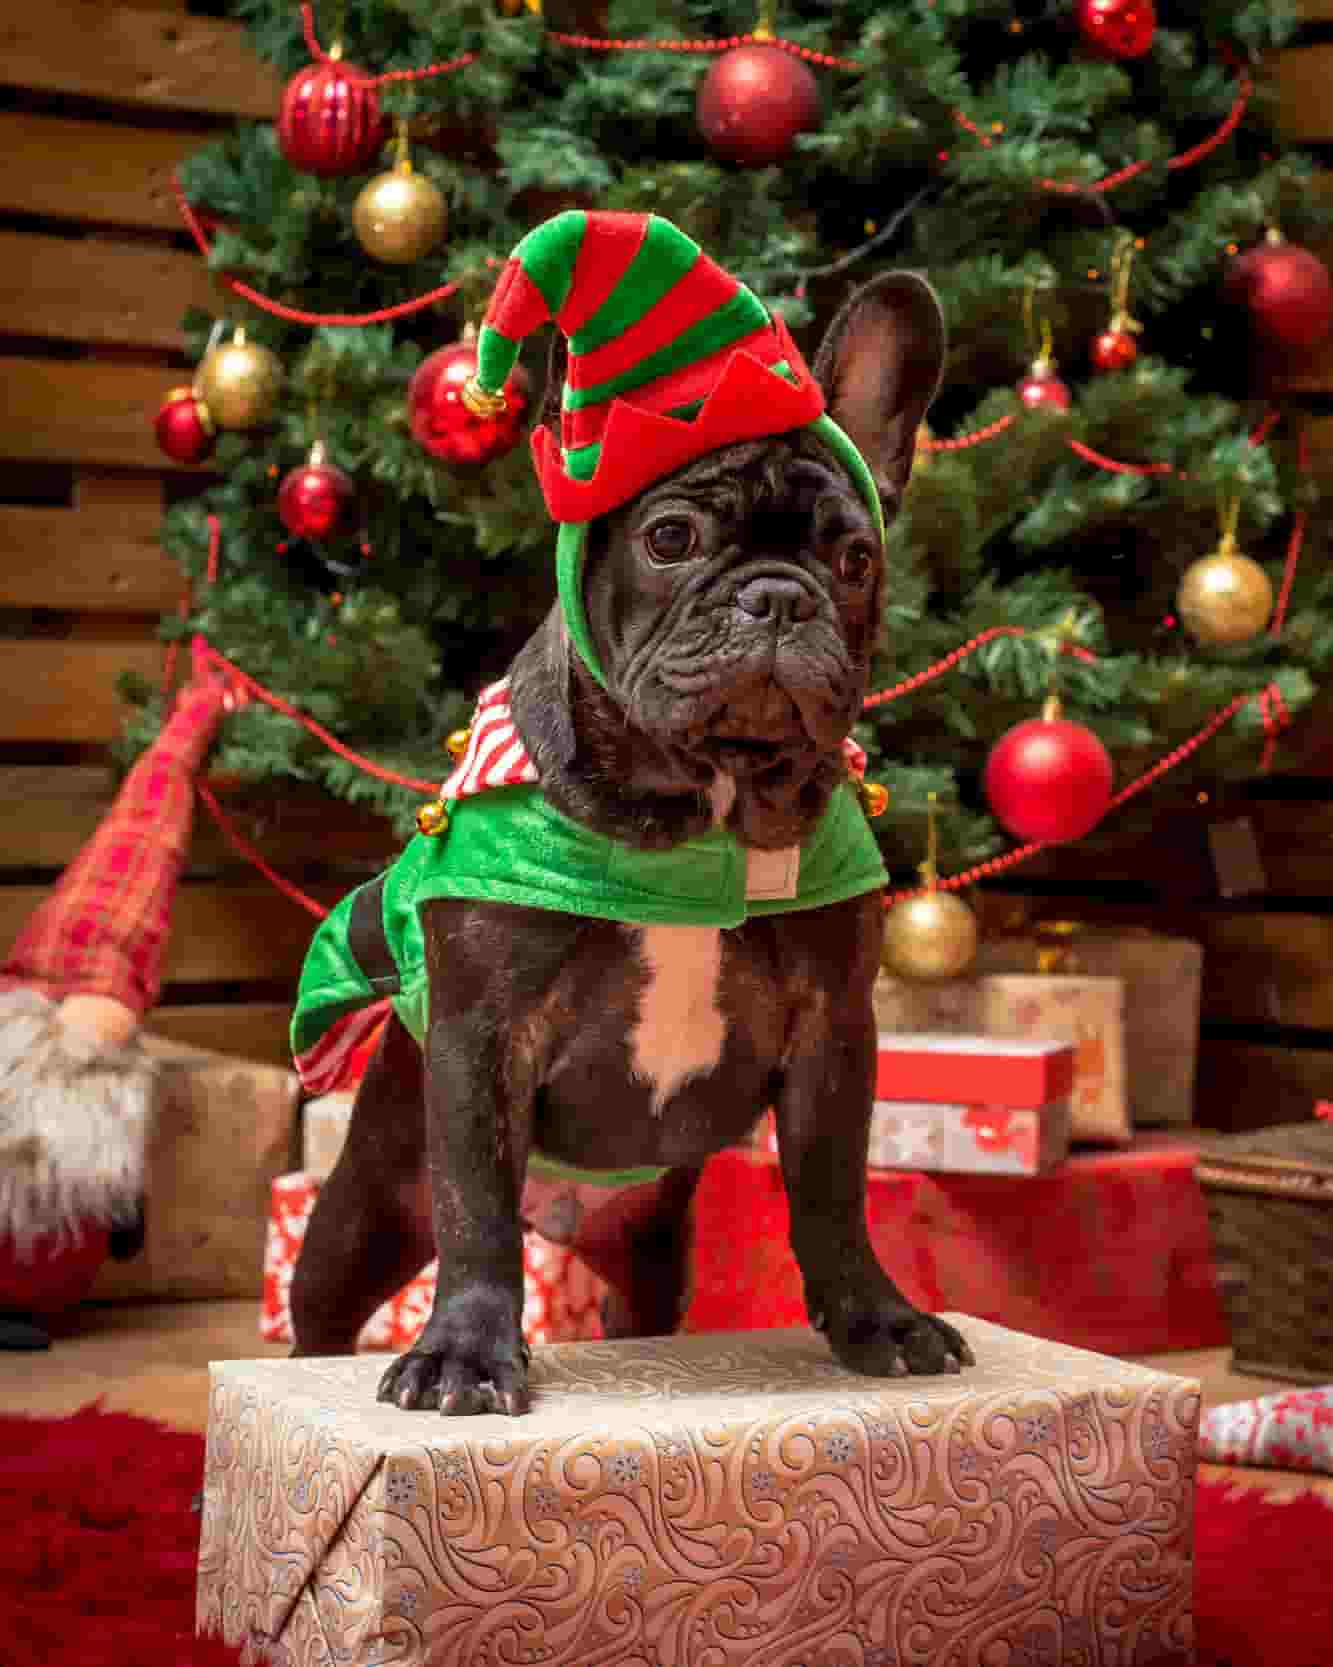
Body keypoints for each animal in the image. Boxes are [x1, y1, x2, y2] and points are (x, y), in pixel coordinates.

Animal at [291, 270, 973, 1406]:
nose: (777, 594)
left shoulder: (833, 1030)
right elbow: (475, 1212)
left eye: (854, 557)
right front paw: (463, 1352)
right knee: (327, 1305)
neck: (700, 818)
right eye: (670, 541)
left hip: (652, 1246)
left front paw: (878, 1318)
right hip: (364, 1209)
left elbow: (833, 1193)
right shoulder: (480, 1039)